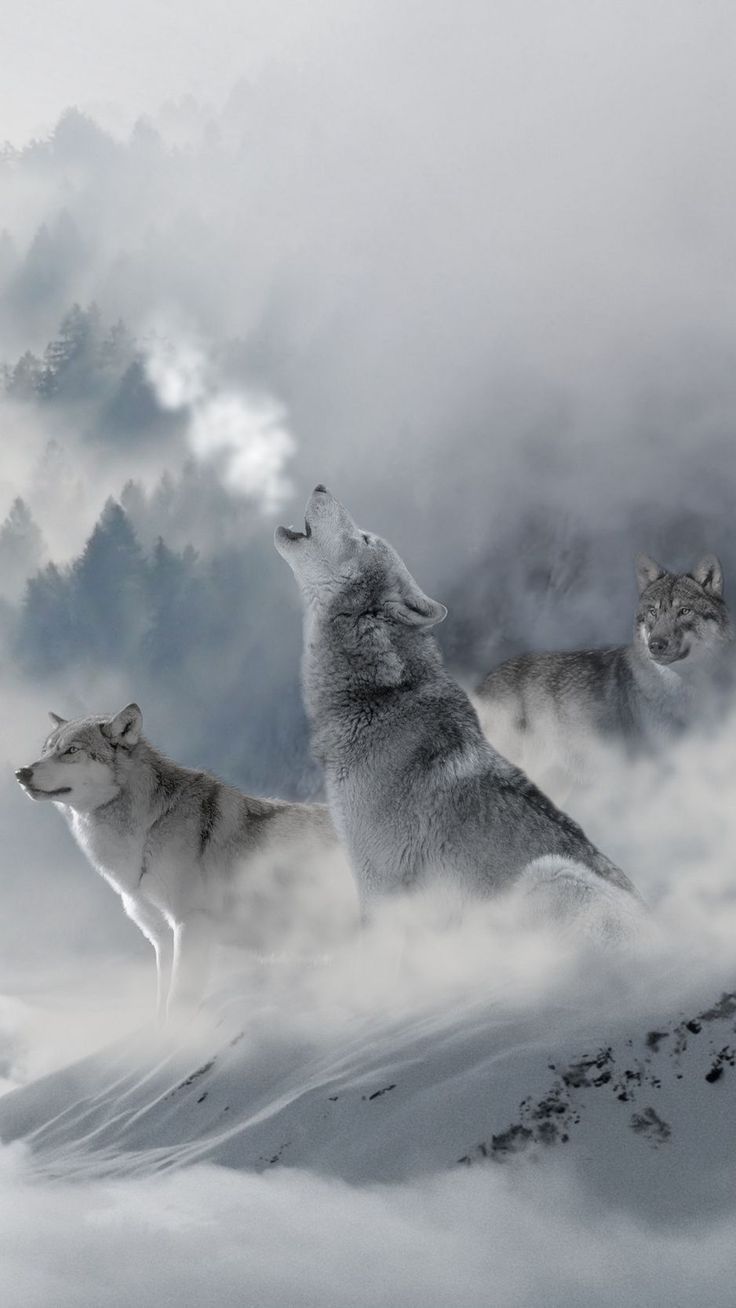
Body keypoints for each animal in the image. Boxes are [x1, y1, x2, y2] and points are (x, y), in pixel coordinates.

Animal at [15, 704, 352, 1018]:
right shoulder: (162, 940)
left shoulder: (190, 927)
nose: (21, 773)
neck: (148, 831)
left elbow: (178, 1005)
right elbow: (161, 1009)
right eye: (46, 751)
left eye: (71, 751)